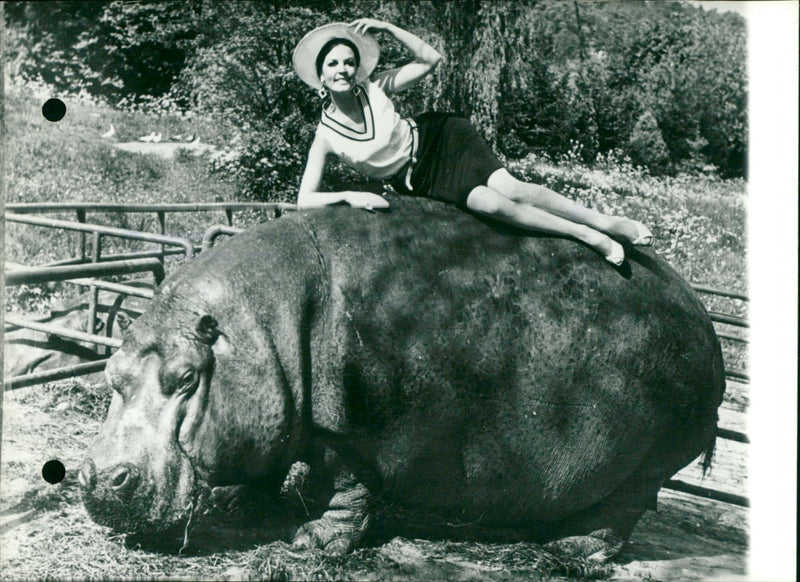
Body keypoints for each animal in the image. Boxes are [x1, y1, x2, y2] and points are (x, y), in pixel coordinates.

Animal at [79, 195, 725, 561]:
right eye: (111, 372)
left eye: (187, 378)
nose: (96, 478)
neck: (260, 328)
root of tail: (702, 315)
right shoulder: (276, 410)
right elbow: (265, 462)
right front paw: (240, 506)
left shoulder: (350, 433)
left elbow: (345, 489)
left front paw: (309, 545)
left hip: (652, 458)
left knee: (621, 512)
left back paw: (571, 552)